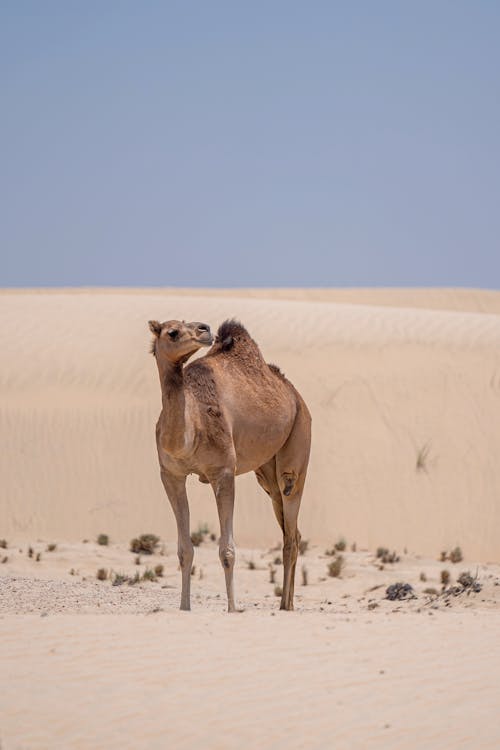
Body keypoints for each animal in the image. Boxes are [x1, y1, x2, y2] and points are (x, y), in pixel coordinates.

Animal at [148, 318, 310, 612]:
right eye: (172, 332)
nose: (204, 329)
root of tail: (295, 395)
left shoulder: (223, 472)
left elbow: (227, 550)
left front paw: (233, 608)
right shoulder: (171, 475)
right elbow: (184, 549)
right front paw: (184, 607)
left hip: (298, 441)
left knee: (291, 523)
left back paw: (285, 606)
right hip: (266, 474)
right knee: (292, 529)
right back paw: (287, 603)